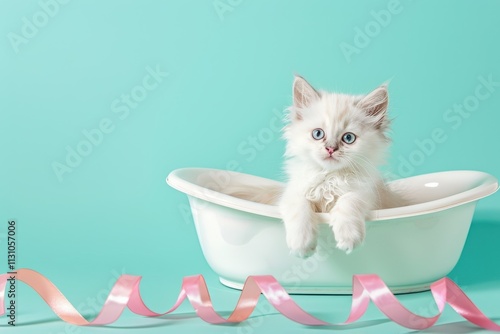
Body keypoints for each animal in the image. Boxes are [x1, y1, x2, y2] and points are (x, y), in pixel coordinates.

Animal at [282, 76, 402, 258]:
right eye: (318, 134)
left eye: (348, 138)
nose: (330, 149)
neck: (330, 177)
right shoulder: (292, 193)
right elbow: (300, 207)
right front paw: (301, 244)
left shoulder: (367, 193)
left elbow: (349, 201)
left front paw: (348, 237)